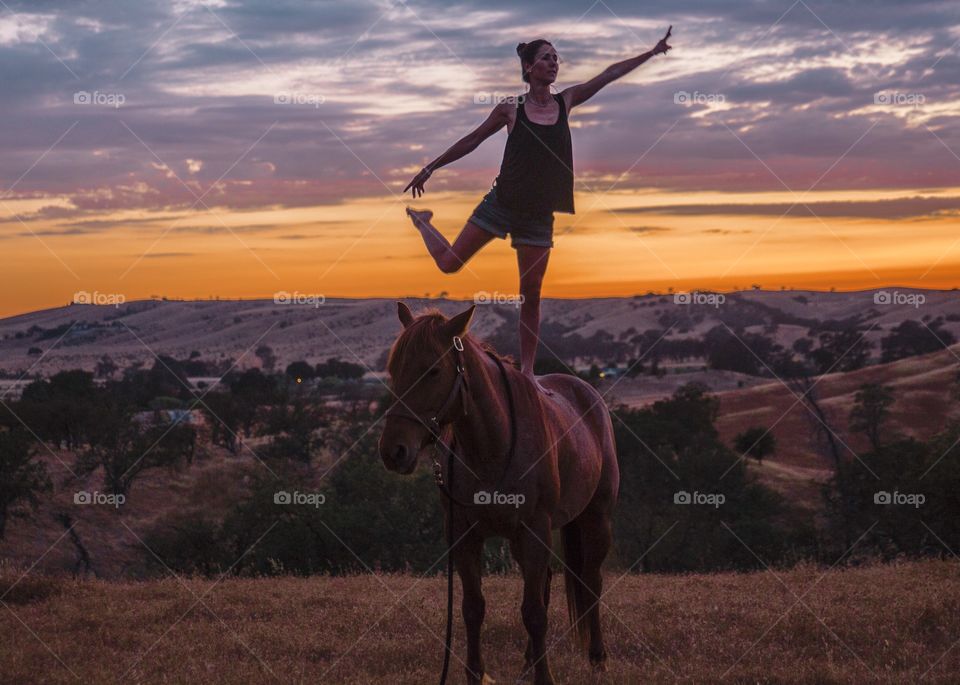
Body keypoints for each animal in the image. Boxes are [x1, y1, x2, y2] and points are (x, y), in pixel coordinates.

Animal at [378, 304, 620, 684]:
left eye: (433, 370)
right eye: (394, 370)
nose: (393, 451)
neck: (494, 446)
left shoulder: (535, 531)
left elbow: (534, 612)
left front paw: (545, 678)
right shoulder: (463, 535)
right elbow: (473, 607)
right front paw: (475, 674)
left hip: (595, 519)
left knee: (590, 580)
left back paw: (597, 658)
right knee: (546, 583)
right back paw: (529, 661)